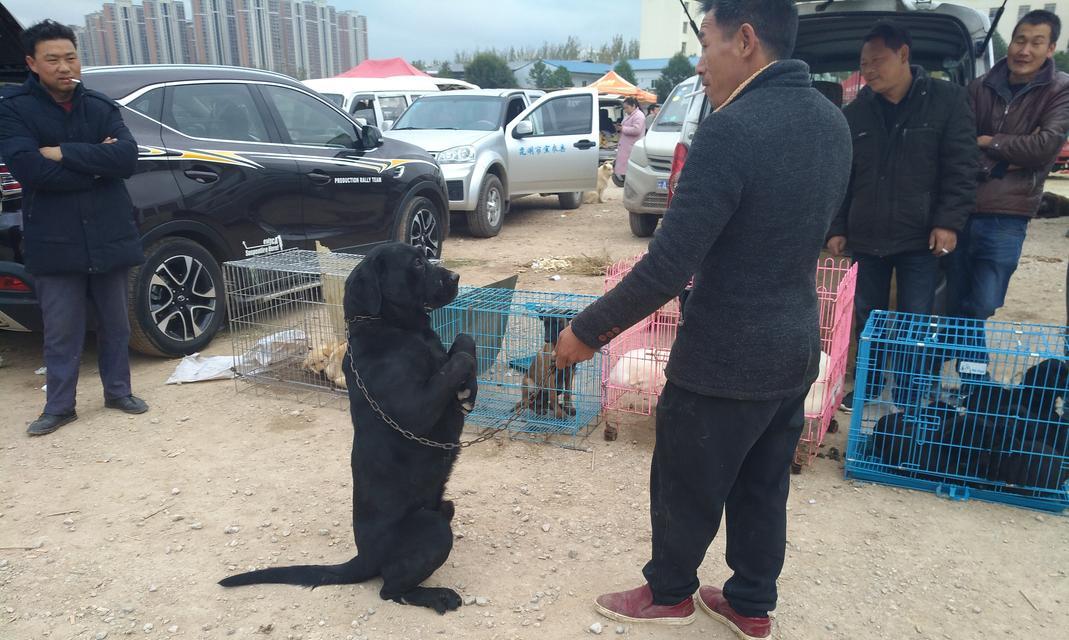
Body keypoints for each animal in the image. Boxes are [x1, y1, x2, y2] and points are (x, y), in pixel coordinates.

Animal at [219, 242, 478, 615]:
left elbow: (464, 338)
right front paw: (465, 378)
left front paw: (469, 389)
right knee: (390, 589)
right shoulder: (413, 410)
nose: (456, 276)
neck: (394, 328)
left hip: (444, 507)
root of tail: (363, 558)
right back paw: (437, 595)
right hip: (432, 527)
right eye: (416, 262)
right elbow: (456, 361)